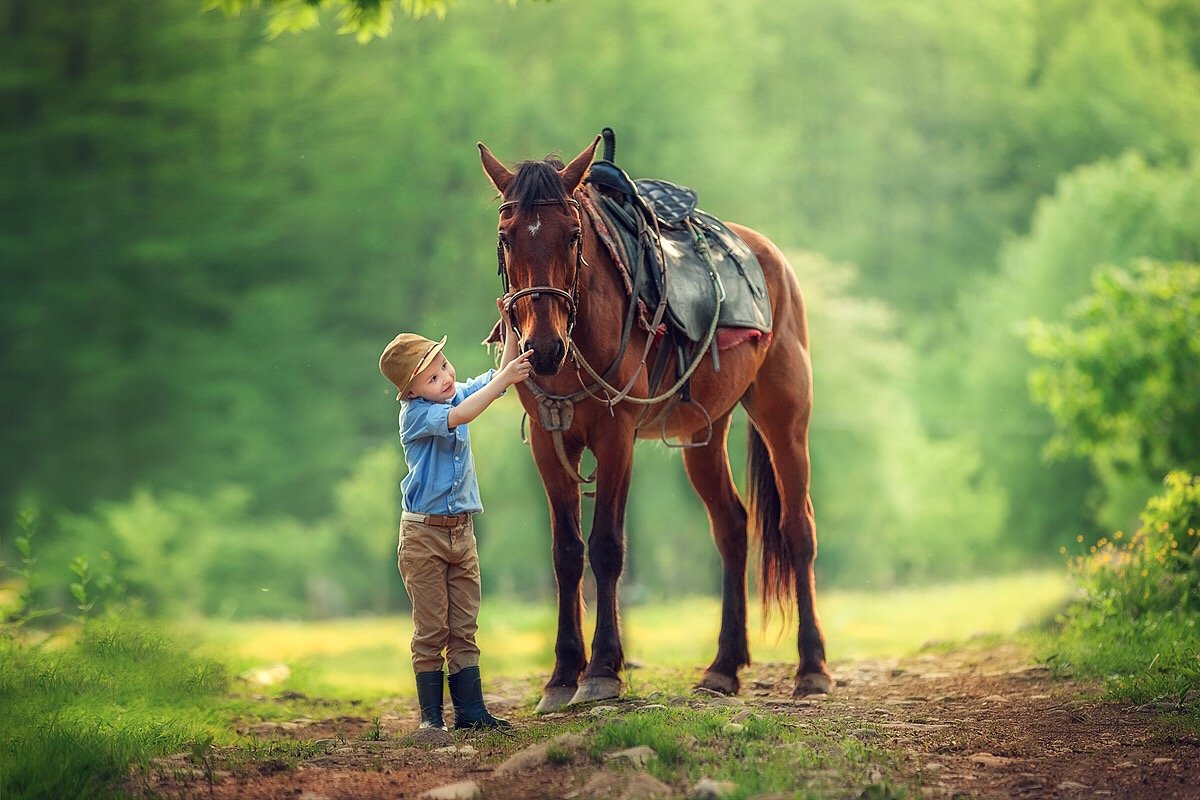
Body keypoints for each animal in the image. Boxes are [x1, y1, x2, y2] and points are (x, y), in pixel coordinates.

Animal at [480, 137, 835, 714]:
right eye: (505, 237)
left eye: (573, 233)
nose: (544, 347)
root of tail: (769, 255)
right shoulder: (549, 444)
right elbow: (566, 554)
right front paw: (561, 676)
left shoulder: (615, 437)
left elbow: (605, 547)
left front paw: (603, 671)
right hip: (703, 436)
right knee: (732, 527)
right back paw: (723, 668)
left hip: (784, 419)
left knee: (797, 529)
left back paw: (812, 669)